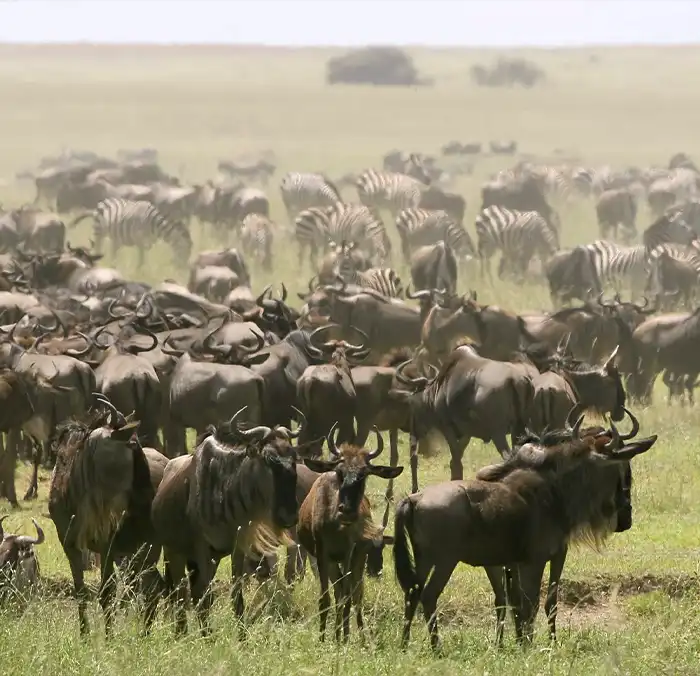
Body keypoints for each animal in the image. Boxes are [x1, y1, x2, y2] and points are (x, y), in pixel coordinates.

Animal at [296, 426, 404, 640]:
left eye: (365, 473)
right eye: (339, 471)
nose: (347, 511)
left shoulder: (350, 553)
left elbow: (347, 596)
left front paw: (342, 639)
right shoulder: (323, 554)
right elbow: (325, 598)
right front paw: (323, 637)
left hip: (357, 561)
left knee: (354, 594)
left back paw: (355, 635)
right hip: (334, 562)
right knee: (340, 592)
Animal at [394, 410, 656, 652]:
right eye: (624, 469)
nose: (626, 519)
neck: (555, 491)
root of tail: (414, 499)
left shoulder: (517, 562)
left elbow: (521, 604)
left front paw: (522, 642)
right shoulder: (542, 559)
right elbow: (537, 603)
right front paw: (535, 646)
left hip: (424, 559)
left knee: (412, 593)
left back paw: (405, 644)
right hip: (445, 561)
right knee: (429, 595)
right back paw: (436, 648)